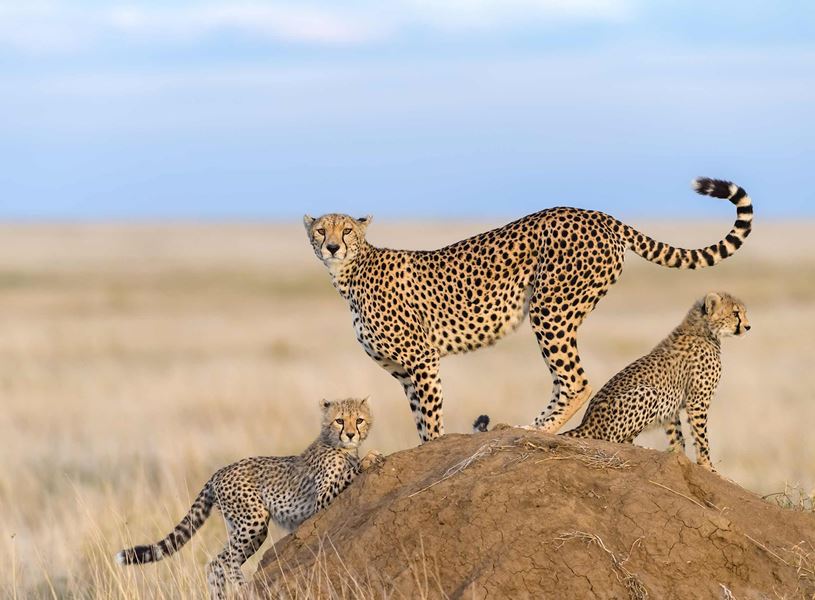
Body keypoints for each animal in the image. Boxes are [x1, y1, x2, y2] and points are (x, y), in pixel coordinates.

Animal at [115, 397, 383, 600]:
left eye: (359, 420)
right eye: (340, 420)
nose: (351, 434)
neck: (339, 447)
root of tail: (219, 472)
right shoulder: (321, 499)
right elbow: (348, 473)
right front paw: (369, 458)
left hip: (247, 529)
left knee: (216, 563)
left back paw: (220, 596)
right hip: (253, 519)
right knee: (227, 560)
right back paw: (243, 587)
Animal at [304, 178, 753, 443]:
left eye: (347, 230)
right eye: (320, 230)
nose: (332, 246)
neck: (350, 272)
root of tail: (595, 213)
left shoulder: (422, 359)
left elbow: (430, 420)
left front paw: (433, 446)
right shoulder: (403, 371)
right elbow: (418, 417)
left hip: (550, 308)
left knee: (576, 380)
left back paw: (541, 430)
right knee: (564, 380)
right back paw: (529, 427)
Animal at [559, 292, 750, 470]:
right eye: (736, 313)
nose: (748, 326)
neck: (703, 330)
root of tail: (586, 422)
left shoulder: (673, 406)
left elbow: (677, 436)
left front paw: (679, 458)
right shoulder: (697, 402)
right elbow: (701, 438)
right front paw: (708, 467)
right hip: (648, 391)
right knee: (613, 441)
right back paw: (644, 449)